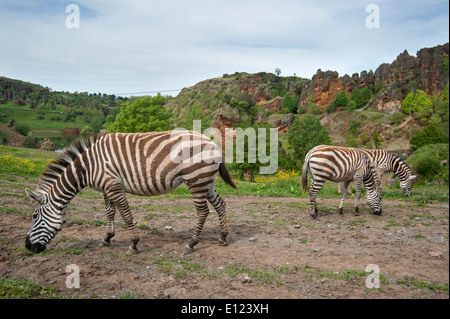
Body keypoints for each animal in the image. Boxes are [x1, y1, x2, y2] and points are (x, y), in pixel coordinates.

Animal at [25, 130, 237, 255]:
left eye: (34, 216)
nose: (28, 246)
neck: (88, 167)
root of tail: (212, 143)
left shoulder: (114, 186)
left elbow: (126, 215)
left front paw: (133, 244)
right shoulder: (106, 188)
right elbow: (110, 213)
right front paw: (107, 238)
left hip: (196, 180)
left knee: (203, 212)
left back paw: (191, 244)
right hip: (206, 181)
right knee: (221, 204)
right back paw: (223, 237)